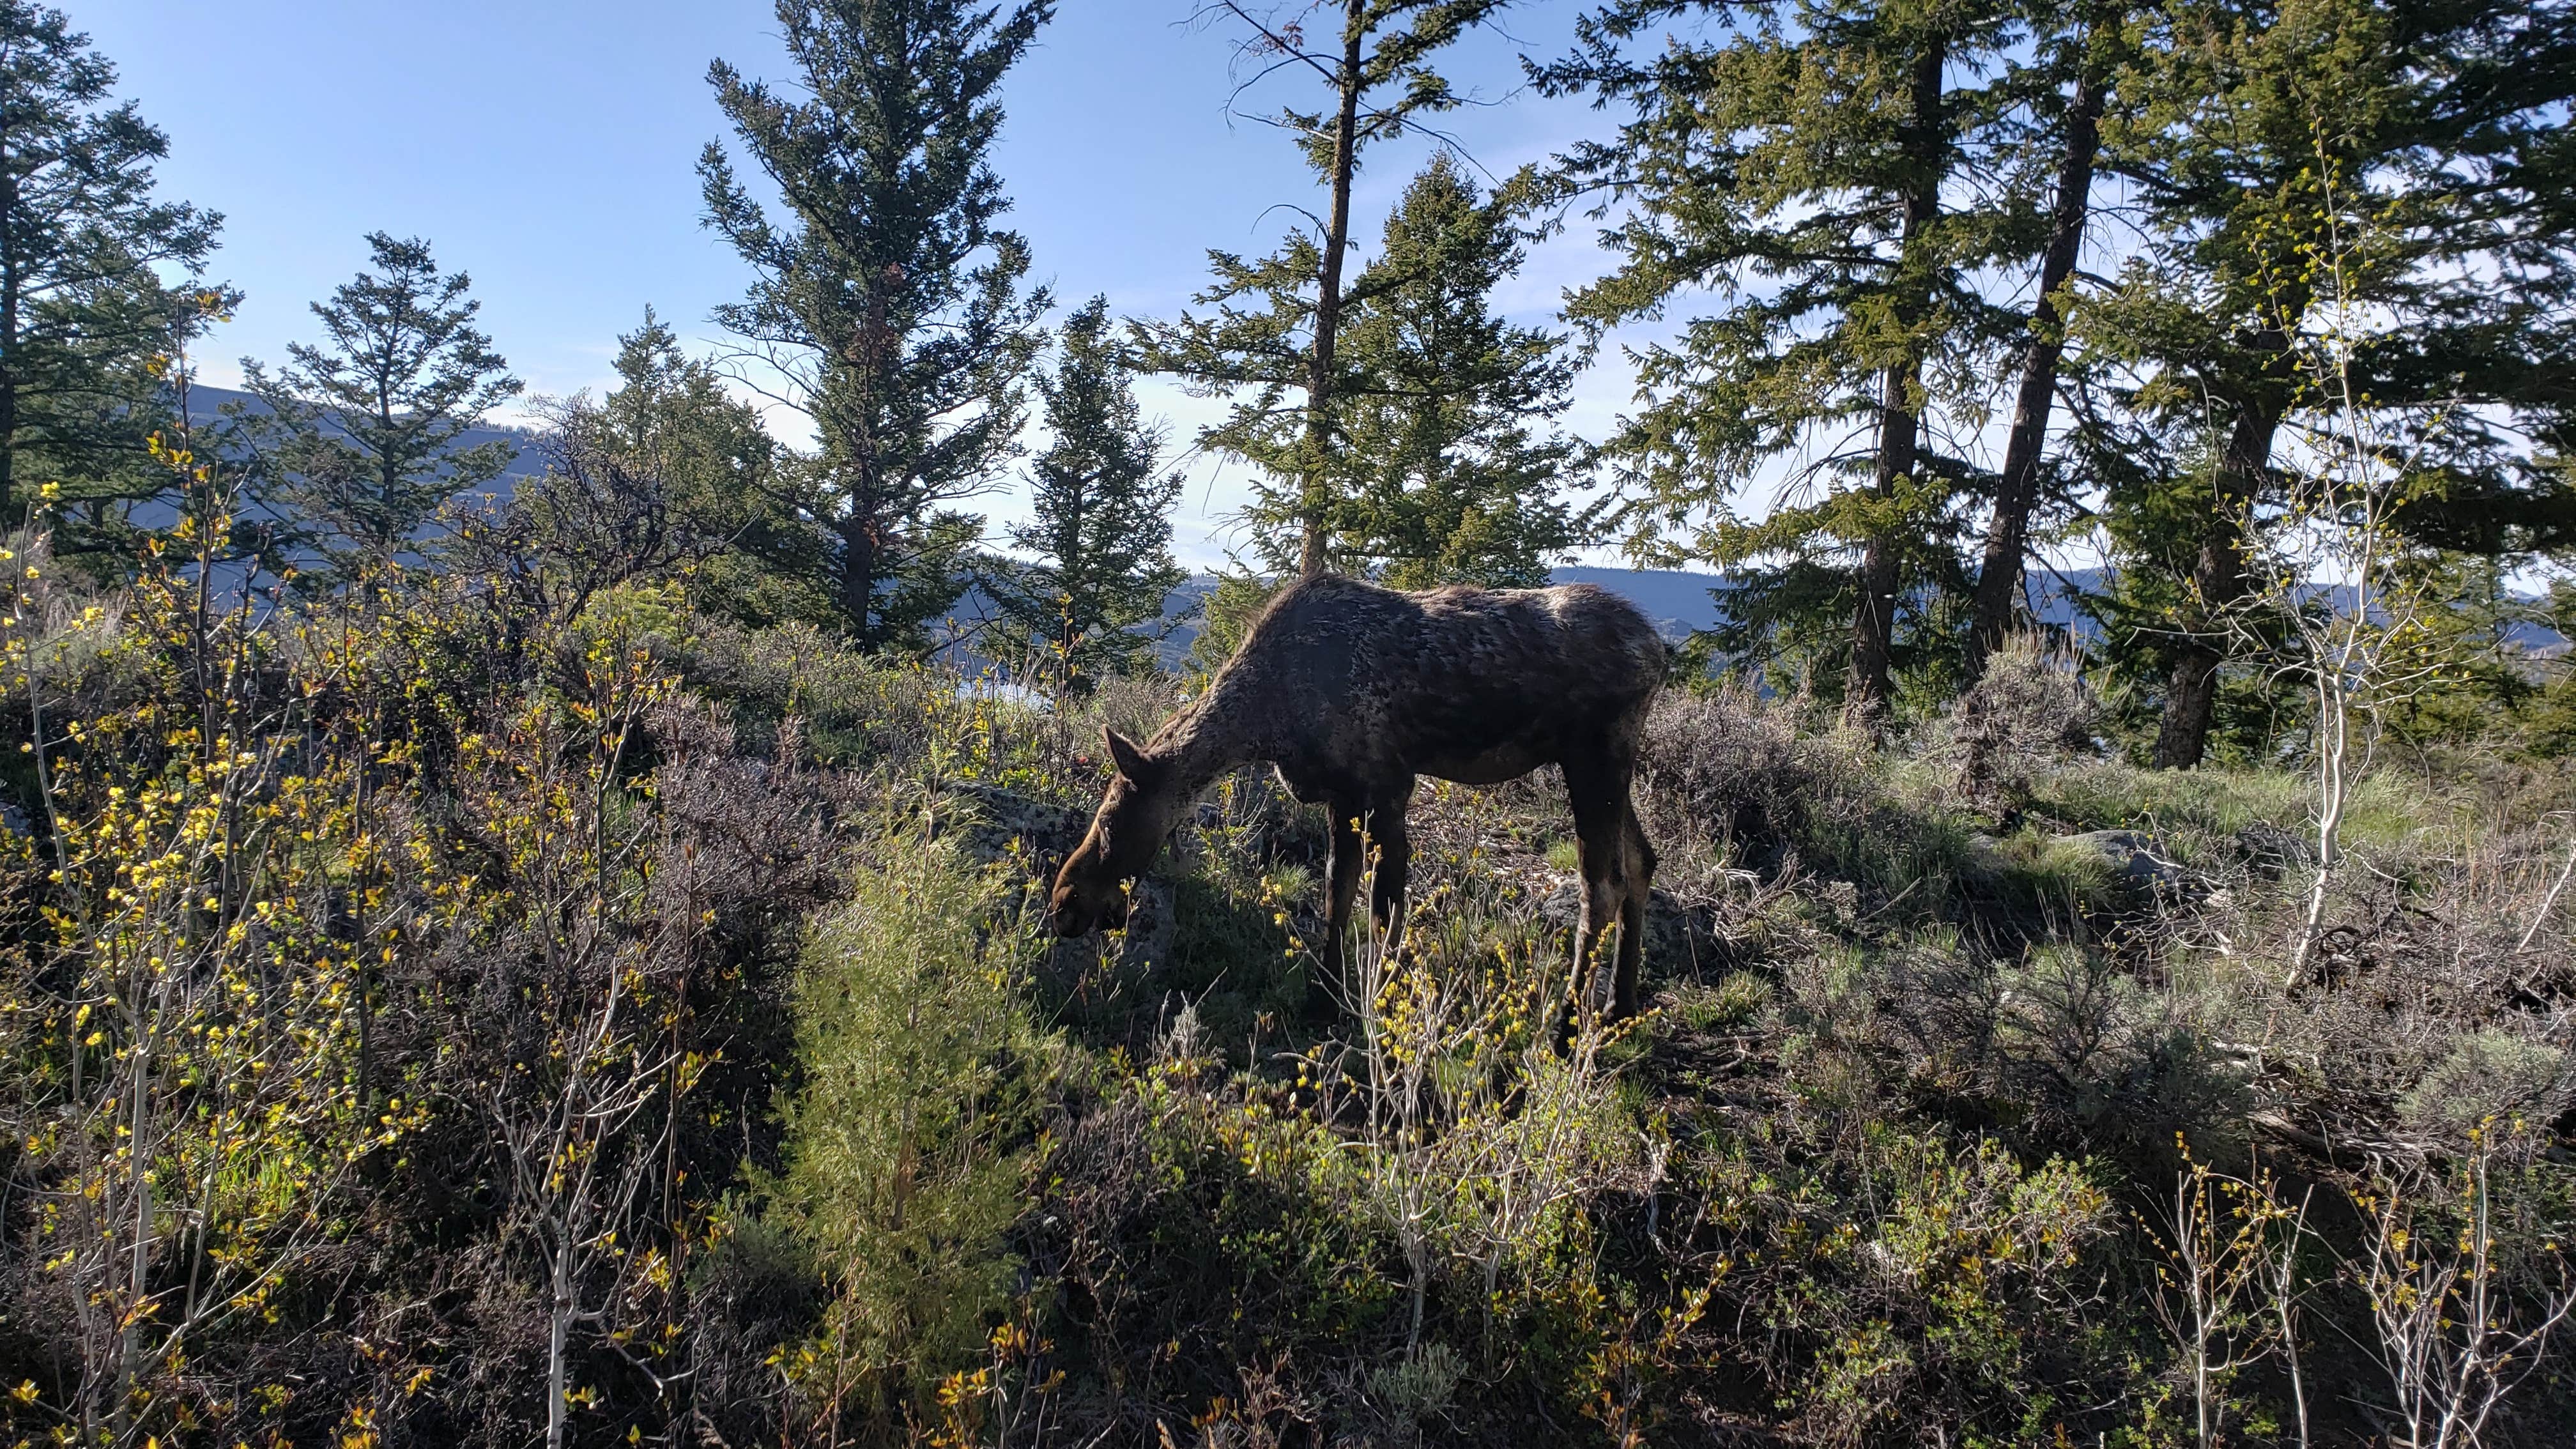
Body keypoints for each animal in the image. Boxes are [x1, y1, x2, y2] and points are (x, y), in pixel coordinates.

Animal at [1045, 572, 1669, 1016]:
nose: (1063, 904)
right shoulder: (1340, 798)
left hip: (1593, 757)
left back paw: (1566, 1026)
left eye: (1111, 821)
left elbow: (1383, 908)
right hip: (1612, 766)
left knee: (1601, 885)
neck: (1269, 721)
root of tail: (1659, 651)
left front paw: (1381, 999)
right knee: (1643, 859)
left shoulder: (1388, 785)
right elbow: (1336, 895)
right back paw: (1619, 1004)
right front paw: (1324, 996)